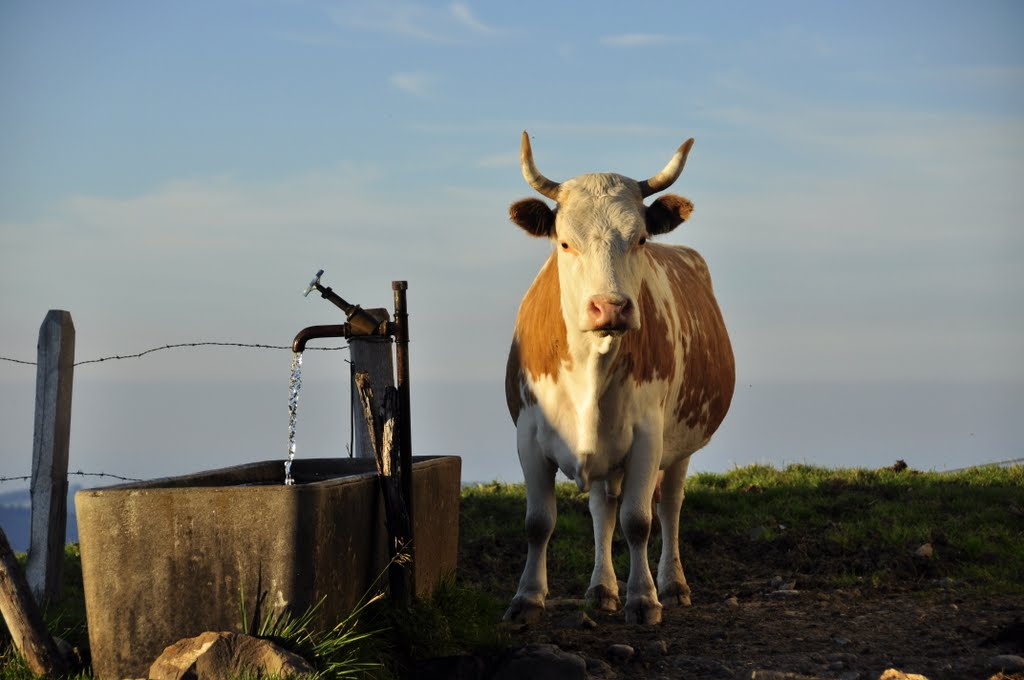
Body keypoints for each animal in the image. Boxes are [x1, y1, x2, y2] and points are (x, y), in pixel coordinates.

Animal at [501, 130, 729, 622]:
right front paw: (527, 597)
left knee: (669, 506)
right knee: (602, 507)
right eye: (565, 243)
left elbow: (638, 521)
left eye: (640, 238)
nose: (610, 307)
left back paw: (672, 584)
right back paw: (601, 589)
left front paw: (643, 598)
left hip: (679, 445)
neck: (593, 365)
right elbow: (537, 523)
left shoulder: (648, 436)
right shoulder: (528, 435)